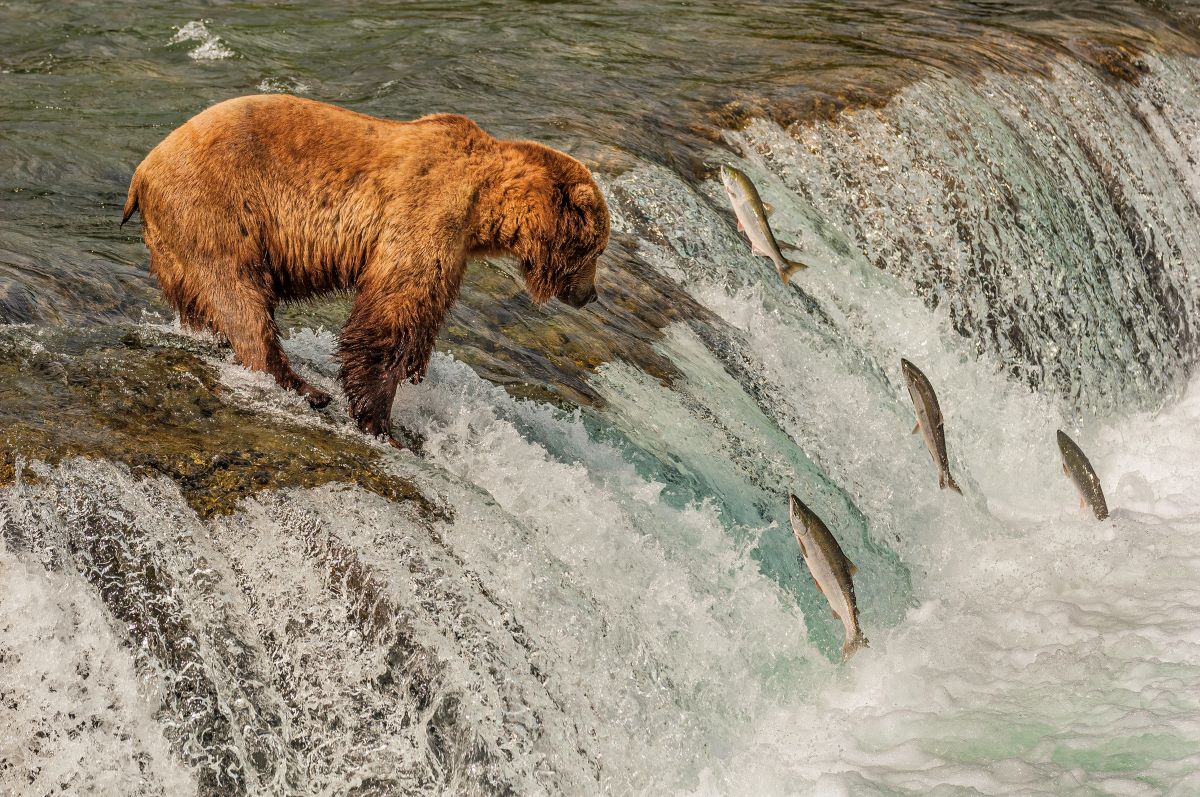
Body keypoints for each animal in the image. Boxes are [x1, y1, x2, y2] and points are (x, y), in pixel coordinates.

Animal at [121, 94, 609, 441]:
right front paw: (378, 419)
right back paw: (303, 387)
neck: (484, 205)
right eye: (598, 249)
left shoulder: (454, 249)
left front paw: (414, 374)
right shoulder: (424, 214)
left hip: (175, 243)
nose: (590, 294)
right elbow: (389, 314)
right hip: (214, 208)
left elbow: (424, 314)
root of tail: (142, 171)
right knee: (240, 296)